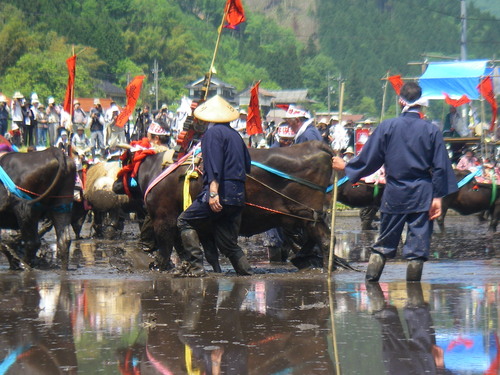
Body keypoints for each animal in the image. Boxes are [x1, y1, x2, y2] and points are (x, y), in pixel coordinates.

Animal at [115, 141, 354, 274]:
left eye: (123, 163)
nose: (115, 183)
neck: (156, 169)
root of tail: (315, 146)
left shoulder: (163, 220)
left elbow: (165, 250)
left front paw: (158, 267)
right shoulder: (204, 227)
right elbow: (209, 254)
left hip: (306, 215)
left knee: (324, 240)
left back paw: (323, 267)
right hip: (303, 218)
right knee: (321, 240)